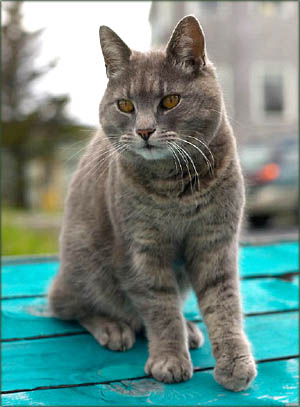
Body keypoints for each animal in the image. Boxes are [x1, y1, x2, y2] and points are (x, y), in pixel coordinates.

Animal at [48, 15, 256, 392]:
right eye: (126, 106)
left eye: (171, 101)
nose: (144, 131)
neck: (174, 189)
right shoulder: (142, 249)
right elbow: (160, 307)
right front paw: (169, 359)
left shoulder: (216, 242)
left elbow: (224, 303)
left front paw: (235, 363)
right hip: (83, 263)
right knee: (69, 307)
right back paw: (113, 327)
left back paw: (188, 329)